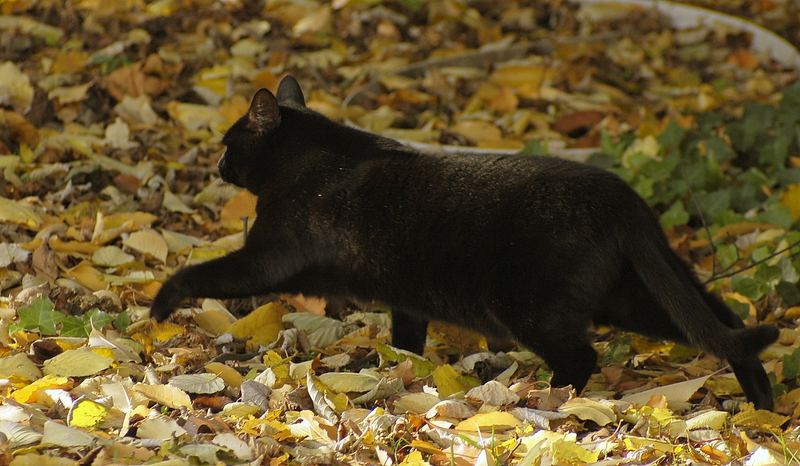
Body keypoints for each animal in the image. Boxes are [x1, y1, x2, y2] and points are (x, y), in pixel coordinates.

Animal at [150, 74, 776, 410]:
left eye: (231, 143)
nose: (217, 164)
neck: (314, 159)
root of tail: (622, 195)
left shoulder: (265, 260)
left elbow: (204, 272)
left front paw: (160, 303)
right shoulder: (404, 298)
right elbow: (407, 339)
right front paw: (402, 372)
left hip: (536, 309)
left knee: (583, 356)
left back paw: (544, 401)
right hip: (633, 296)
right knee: (725, 323)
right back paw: (764, 406)